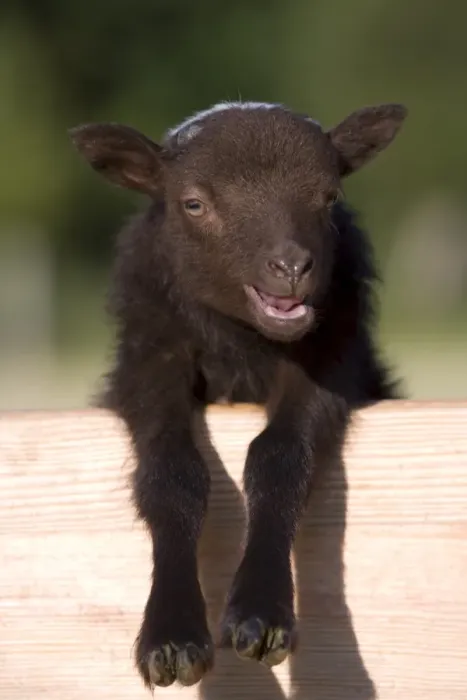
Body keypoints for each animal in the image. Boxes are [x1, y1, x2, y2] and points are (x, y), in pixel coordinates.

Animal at [69, 100, 407, 690]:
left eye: (330, 196)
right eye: (194, 203)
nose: (291, 267)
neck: (241, 344)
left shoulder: (331, 361)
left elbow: (278, 458)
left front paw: (261, 618)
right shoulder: (150, 362)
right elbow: (172, 475)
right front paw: (172, 639)